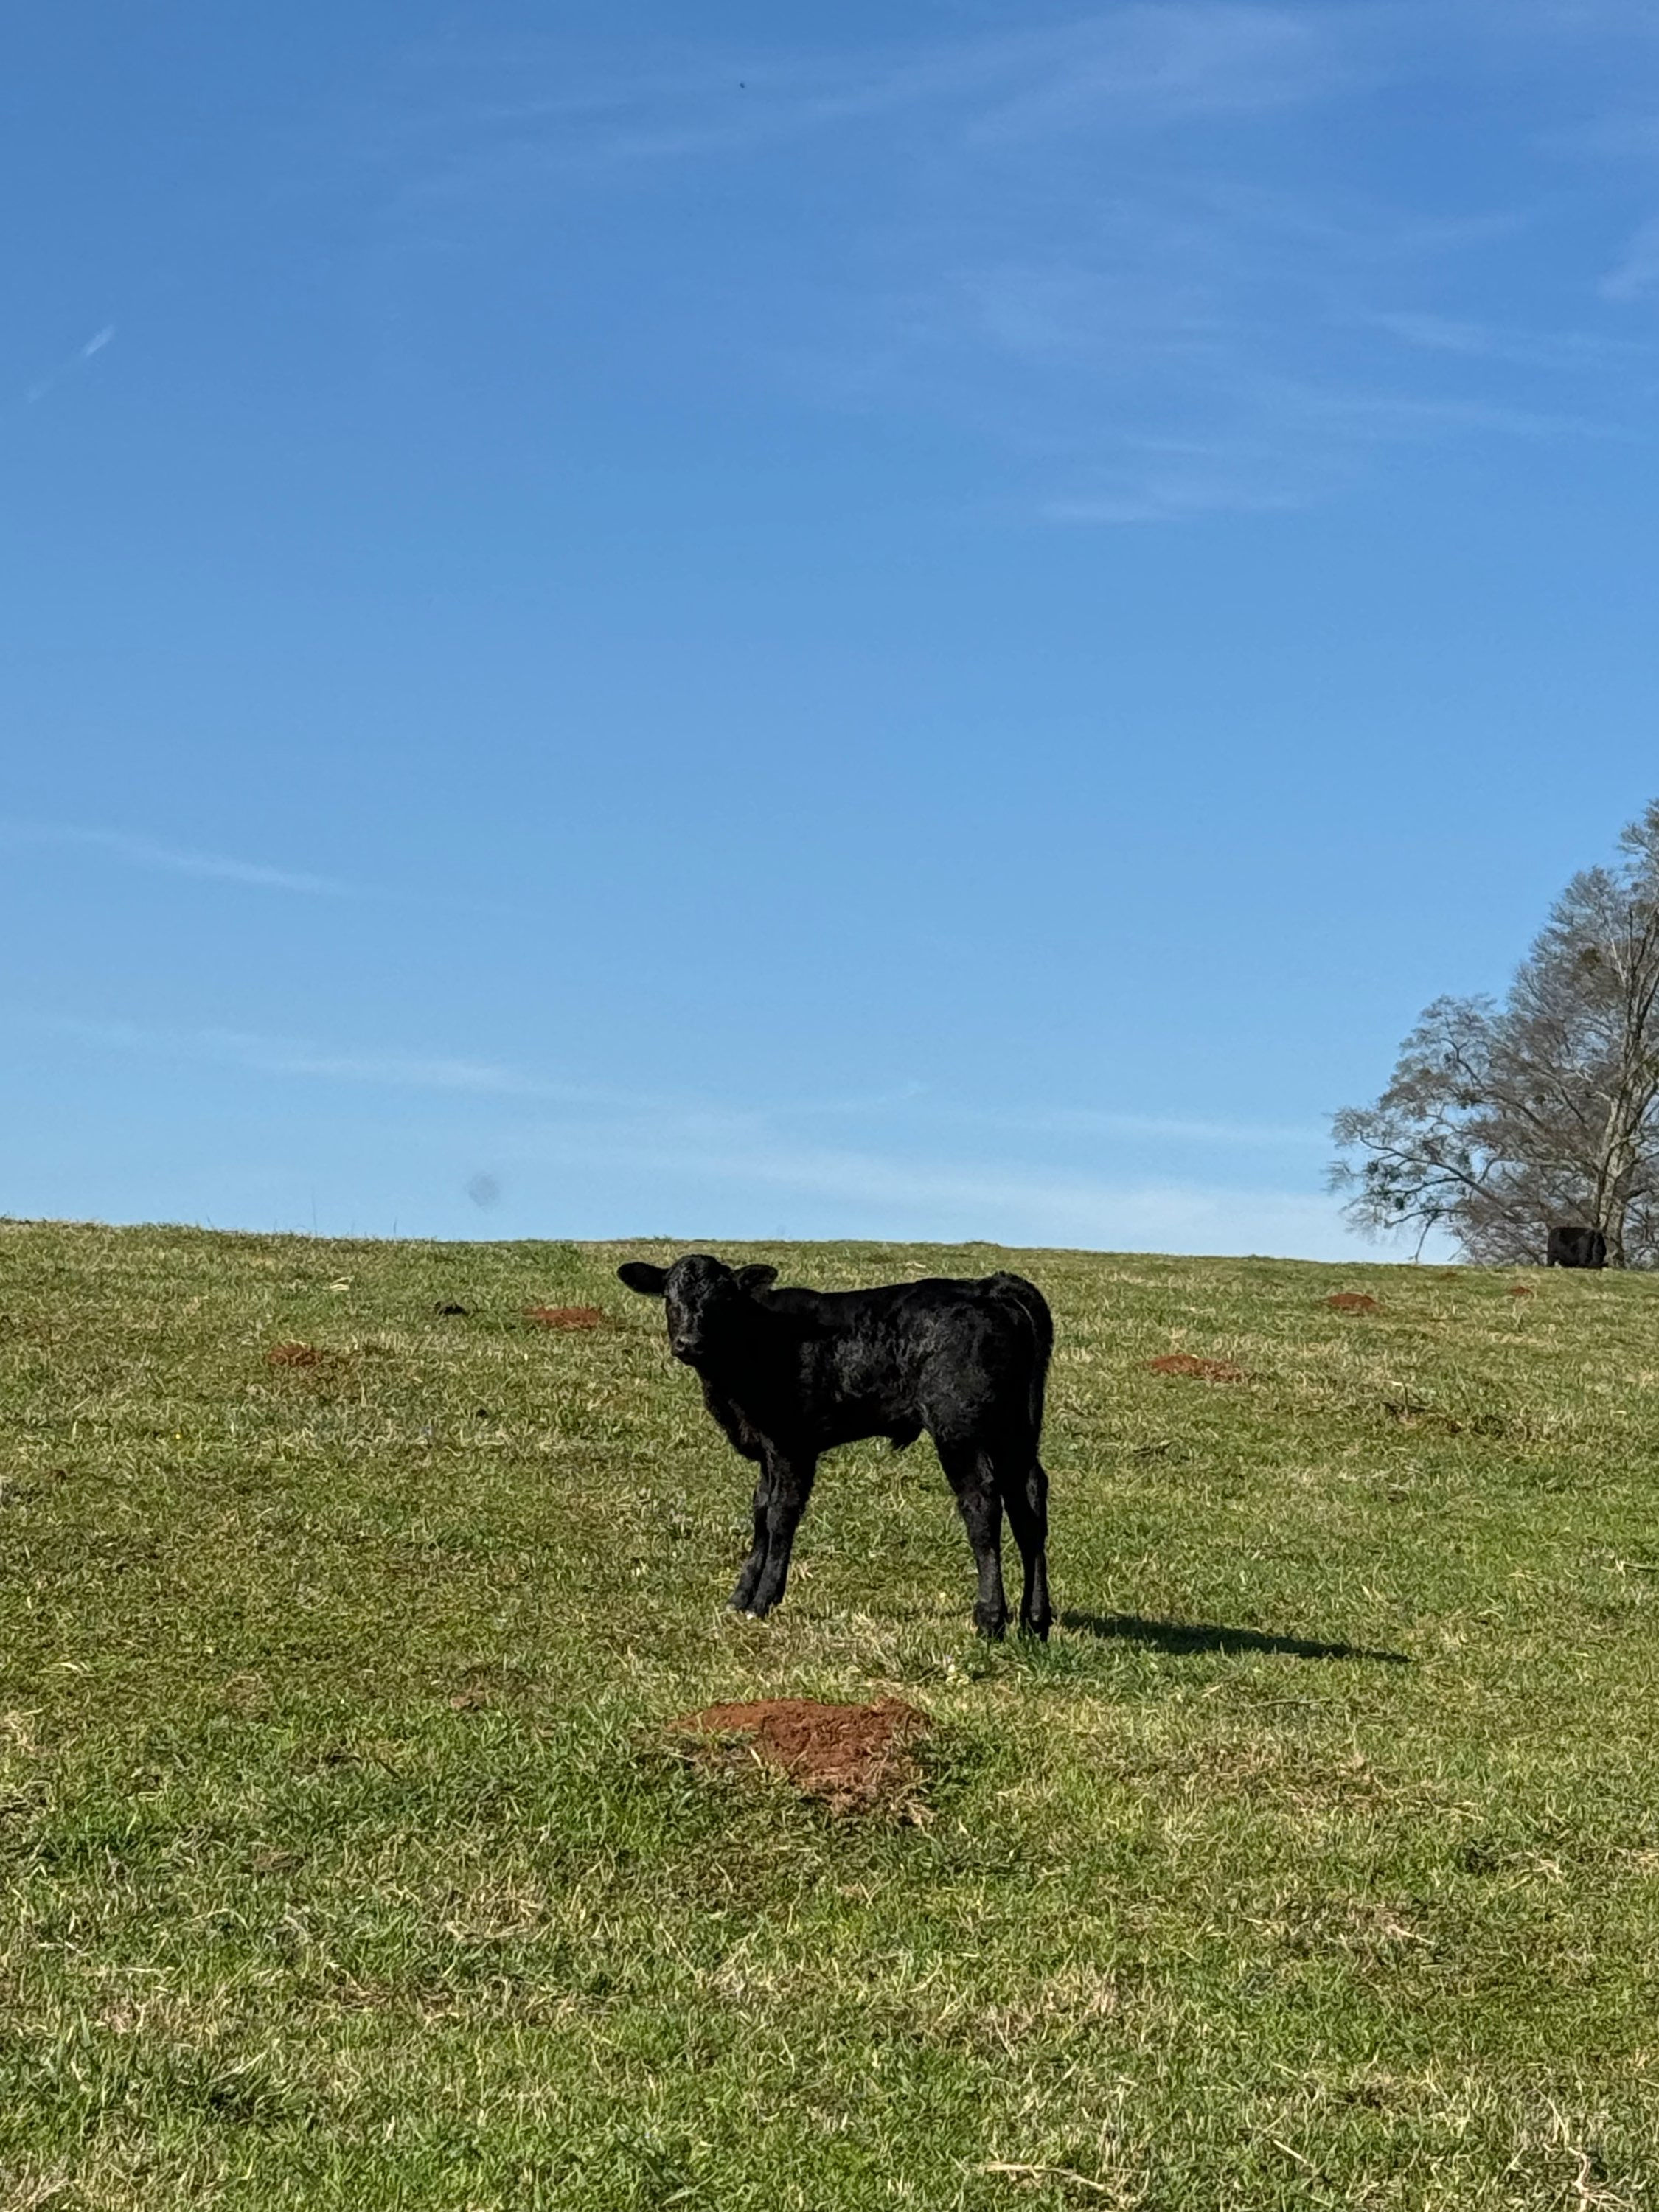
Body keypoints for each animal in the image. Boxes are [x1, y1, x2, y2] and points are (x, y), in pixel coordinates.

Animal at [617, 1254, 1054, 1639]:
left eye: (722, 1300)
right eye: (670, 1298)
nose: (688, 1343)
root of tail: (985, 1286)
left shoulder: (792, 1445)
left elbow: (780, 1515)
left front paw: (764, 1599)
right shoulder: (766, 1449)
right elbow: (760, 1511)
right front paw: (740, 1597)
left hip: (960, 1429)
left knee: (982, 1503)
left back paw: (990, 1618)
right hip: (1017, 1430)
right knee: (1028, 1501)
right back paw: (1035, 1620)